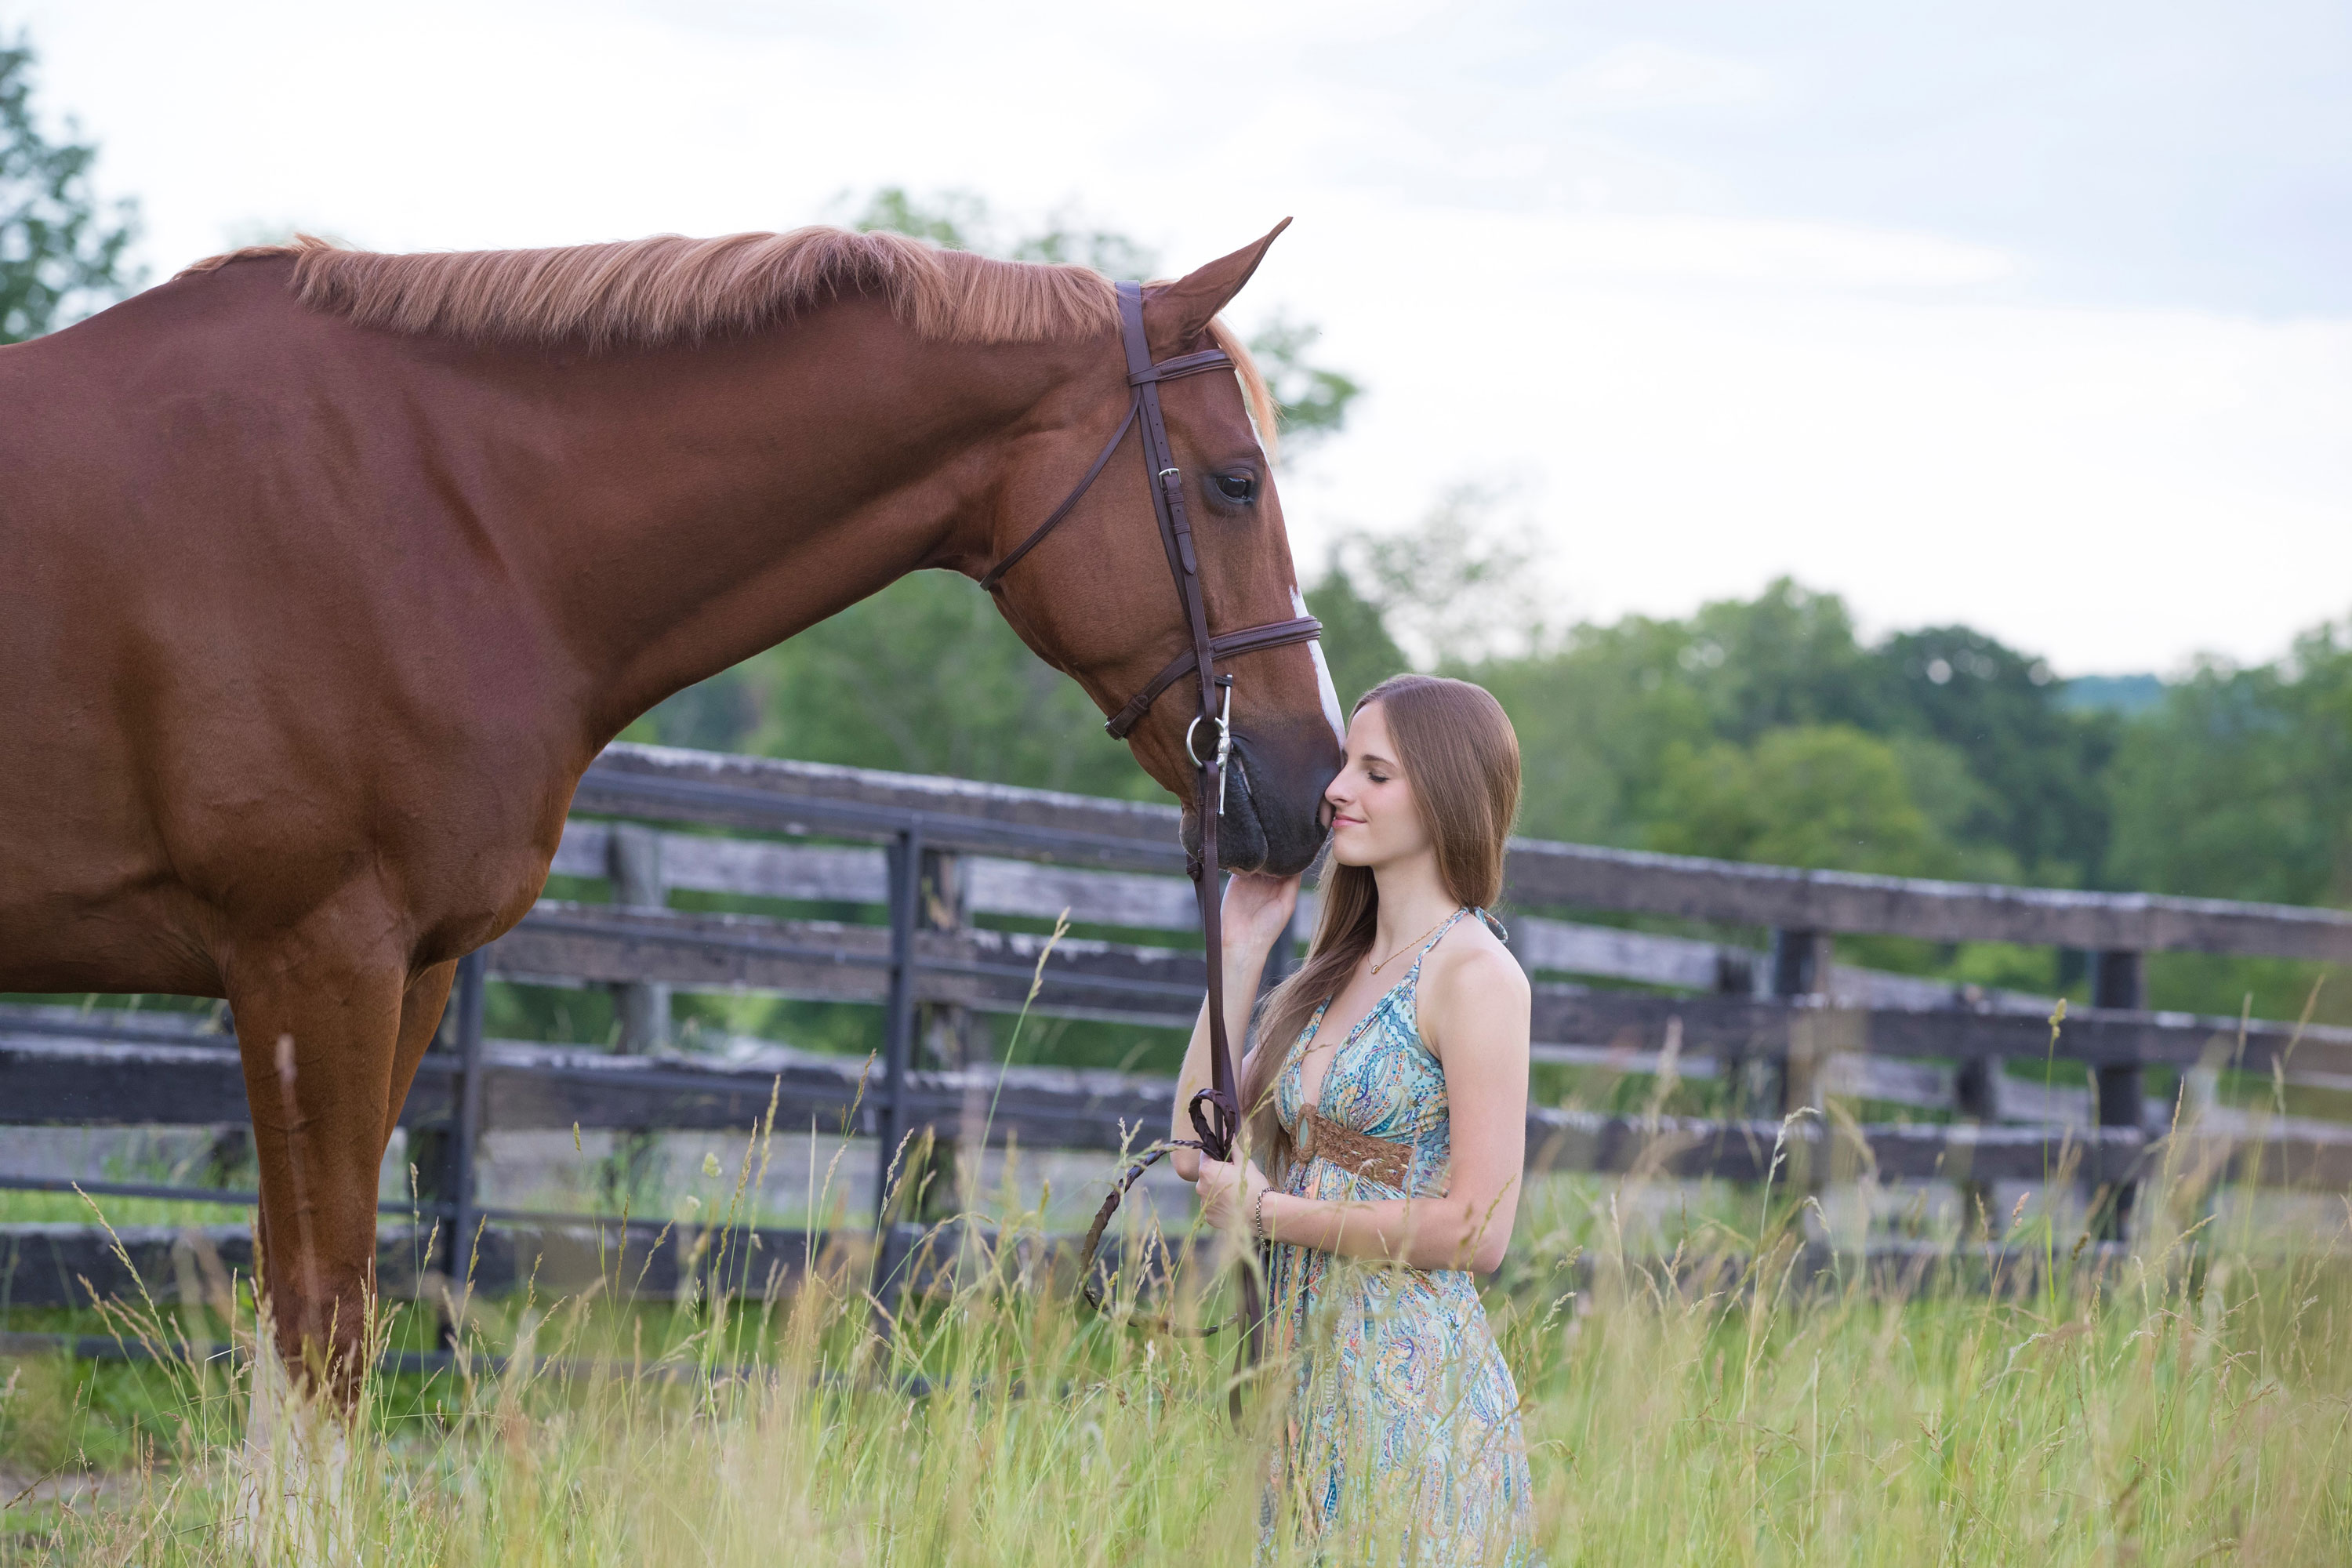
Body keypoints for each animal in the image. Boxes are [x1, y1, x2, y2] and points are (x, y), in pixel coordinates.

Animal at [0, 217, 1345, 1401]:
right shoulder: (311, 961)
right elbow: (319, 1325)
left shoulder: (402, 973)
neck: (437, 516)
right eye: (1235, 483)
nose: (1314, 785)